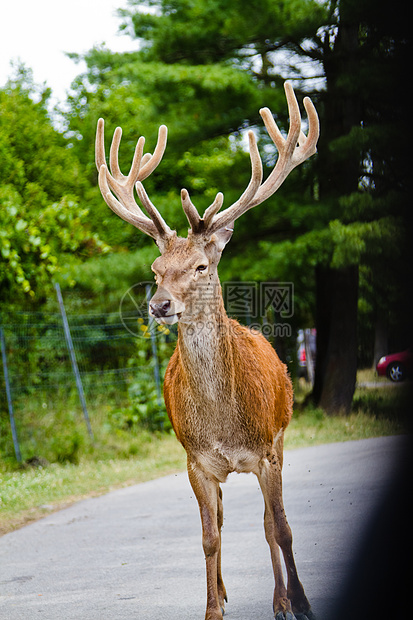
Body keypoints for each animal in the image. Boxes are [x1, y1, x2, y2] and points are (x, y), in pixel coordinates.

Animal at [96, 82, 318, 620]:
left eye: (200, 265)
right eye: (156, 268)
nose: (159, 305)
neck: (223, 424)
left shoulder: (267, 451)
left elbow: (281, 529)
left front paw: (301, 602)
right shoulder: (195, 461)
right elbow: (209, 537)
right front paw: (212, 609)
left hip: (281, 437)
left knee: (267, 525)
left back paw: (281, 599)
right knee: (220, 521)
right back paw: (230, 592)